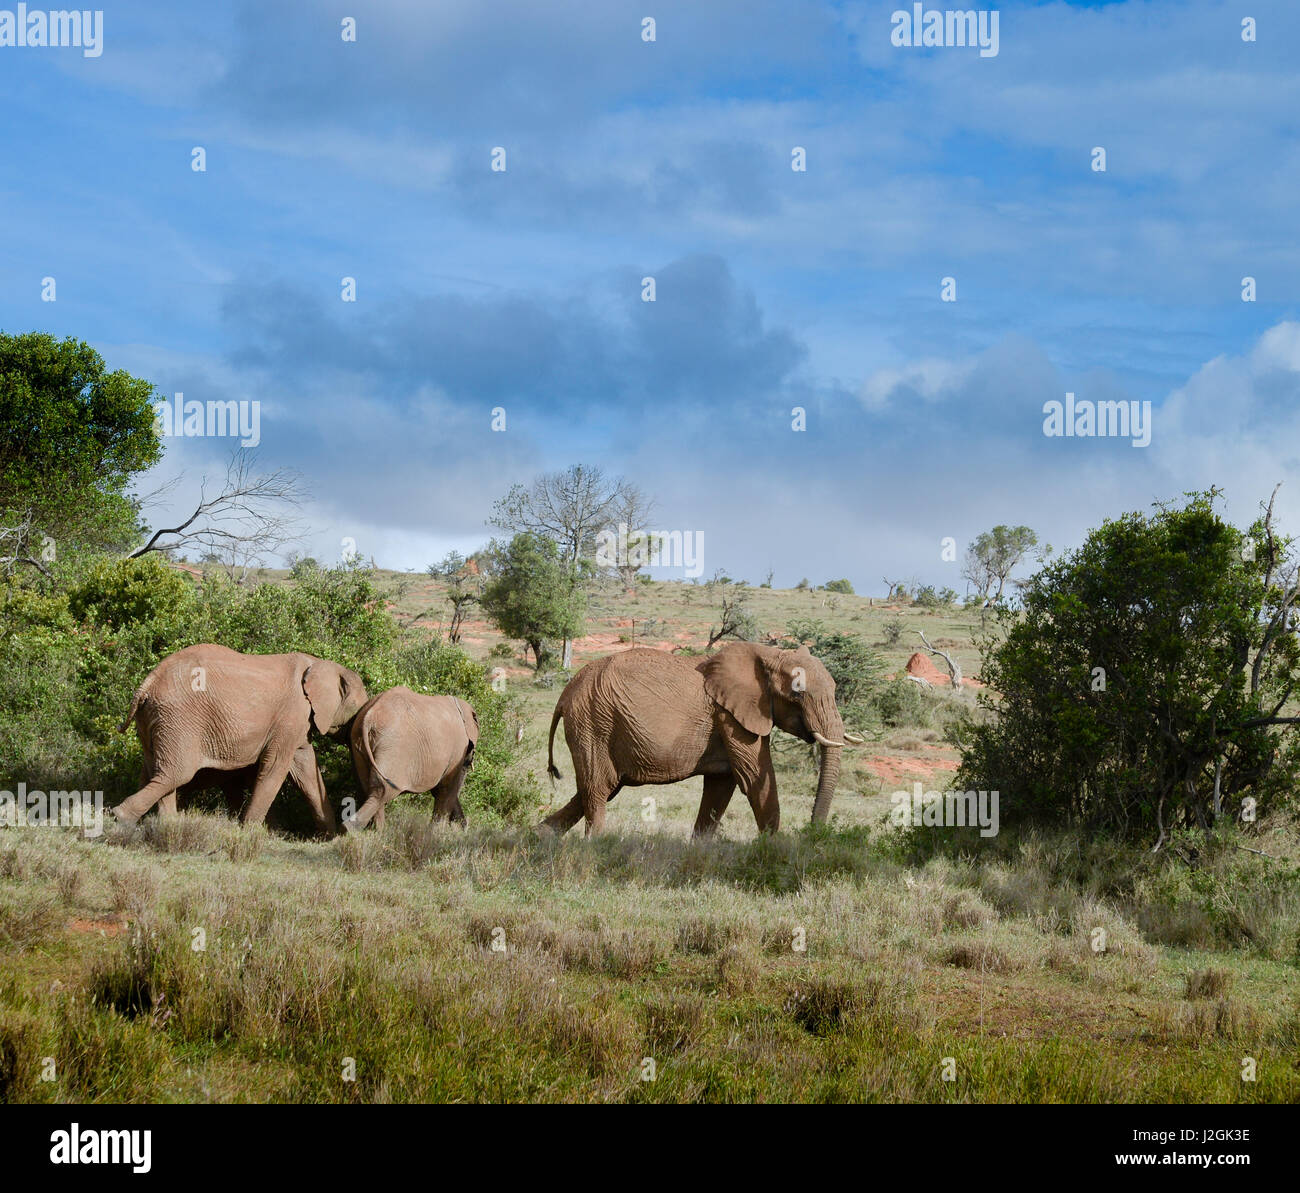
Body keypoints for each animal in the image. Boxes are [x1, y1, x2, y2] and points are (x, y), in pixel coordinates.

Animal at [111, 649, 369, 836]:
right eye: (359, 708)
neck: (319, 663)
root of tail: (148, 682)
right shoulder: (291, 715)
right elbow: (276, 767)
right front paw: (250, 831)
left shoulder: (299, 723)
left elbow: (306, 769)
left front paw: (331, 837)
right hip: (178, 718)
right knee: (176, 772)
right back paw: (122, 819)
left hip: (155, 719)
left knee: (154, 770)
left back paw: (165, 824)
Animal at [348, 691, 480, 831]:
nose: (464, 826)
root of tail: (369, 716)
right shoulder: (458, 749)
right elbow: (447, 787)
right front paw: (436, 832)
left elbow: (440, 789)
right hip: (394, 747)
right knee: (382, 790)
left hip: (359, 744)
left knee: (369, 789)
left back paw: (376, 831)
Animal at [540, 644, 863, 842]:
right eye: (797, 694)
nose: (812, 834)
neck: (769, 653)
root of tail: (565, 694)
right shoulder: (732, 717)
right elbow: (754, 780)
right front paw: (773, 849)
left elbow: (721, 787)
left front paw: (699, 850)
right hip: (594, 723)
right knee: (598, 789)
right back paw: (593, 845)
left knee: (594, 790)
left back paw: (541, 835)